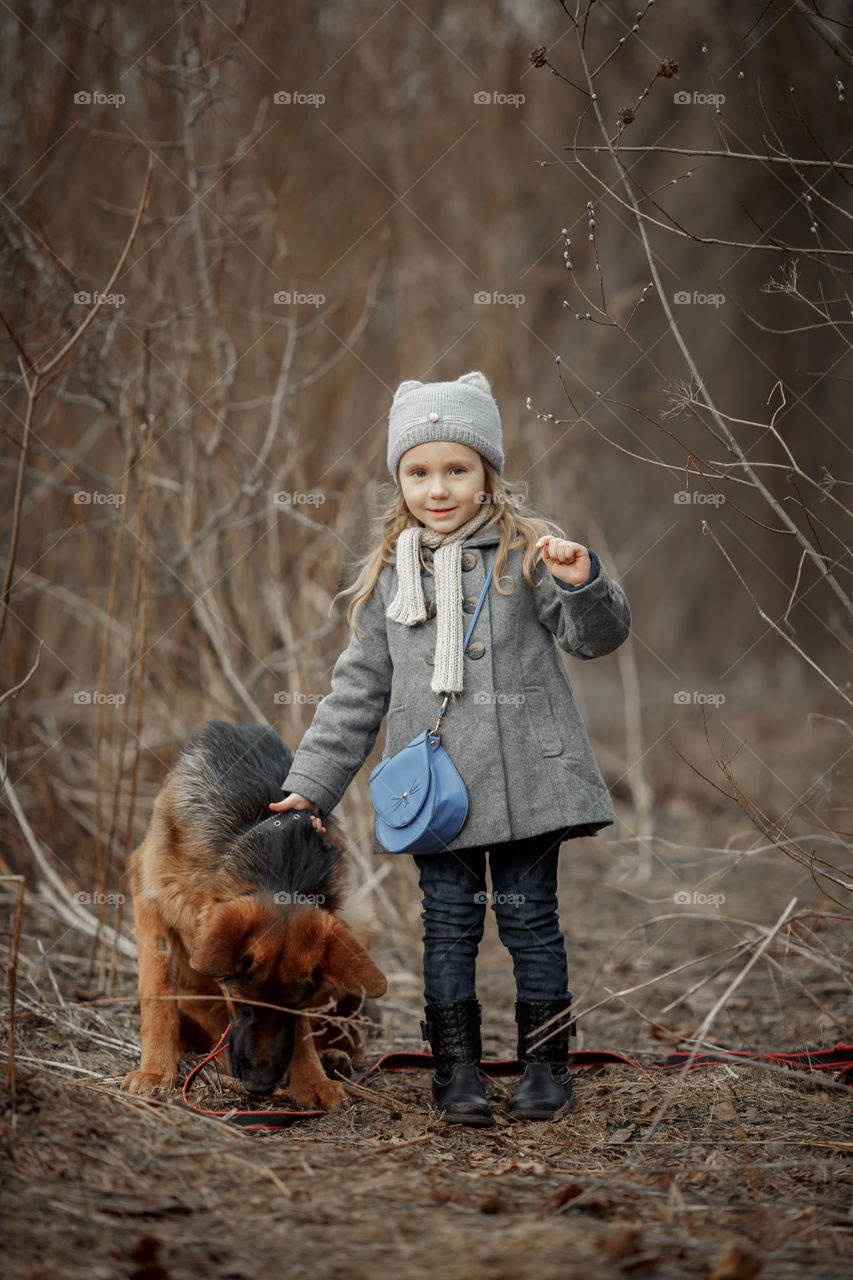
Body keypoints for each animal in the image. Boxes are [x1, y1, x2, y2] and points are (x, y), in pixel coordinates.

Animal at [119, 721, 384, 1111]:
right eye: (241, 1000)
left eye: (297, 1004)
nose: (260, 1085)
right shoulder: (149, 898)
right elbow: (158, 994)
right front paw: (155, 1071)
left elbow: (303, 1033)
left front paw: (311, 1080)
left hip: (359, 923)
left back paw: (333, 1057)